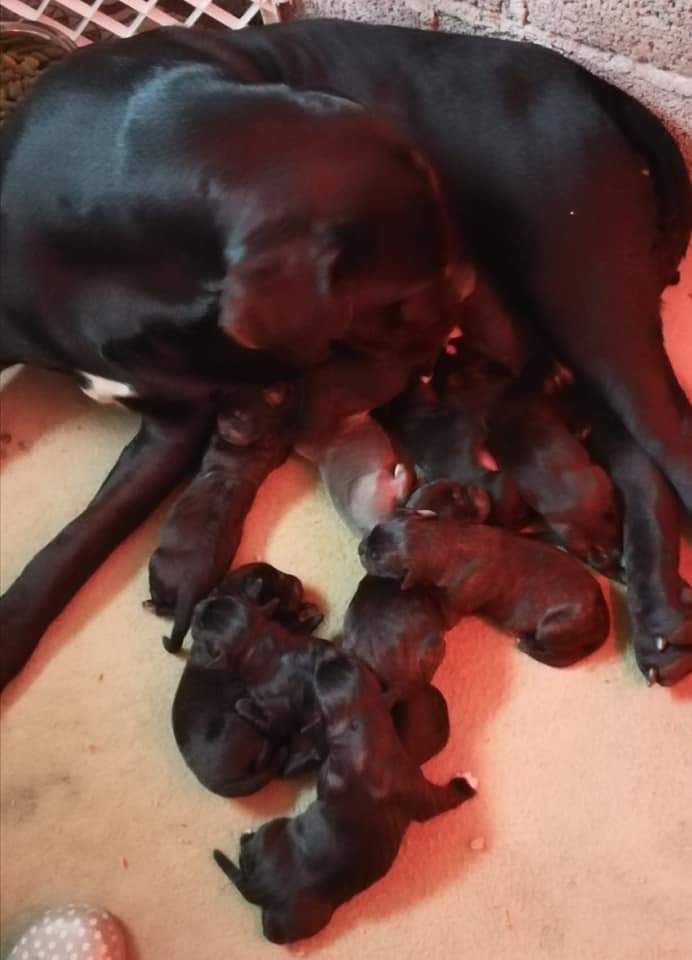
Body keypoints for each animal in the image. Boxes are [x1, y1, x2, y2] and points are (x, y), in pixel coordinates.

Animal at [146, 382, 298, 652]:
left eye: (234, 409)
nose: (219, 393)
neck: (255, 442)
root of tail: (190, 584)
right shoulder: (276, 450)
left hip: (156, 562)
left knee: (163, 606)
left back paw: (150, 604)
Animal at [215, 652, 476, 944]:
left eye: (321, 673)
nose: (331, 653)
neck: (363, 729)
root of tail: (261, 888)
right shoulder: (419, 791)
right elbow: (443, 798)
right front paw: (466, 784)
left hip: (275, 850)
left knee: (248, 851)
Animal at [362, 488, 612, 668]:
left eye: (376, 557)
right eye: (374, 529)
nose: (360, 548)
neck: (441, 540)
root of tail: (603, 620)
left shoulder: (450, 610)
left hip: (553, 627)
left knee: (558, 658)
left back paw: (527, 644)